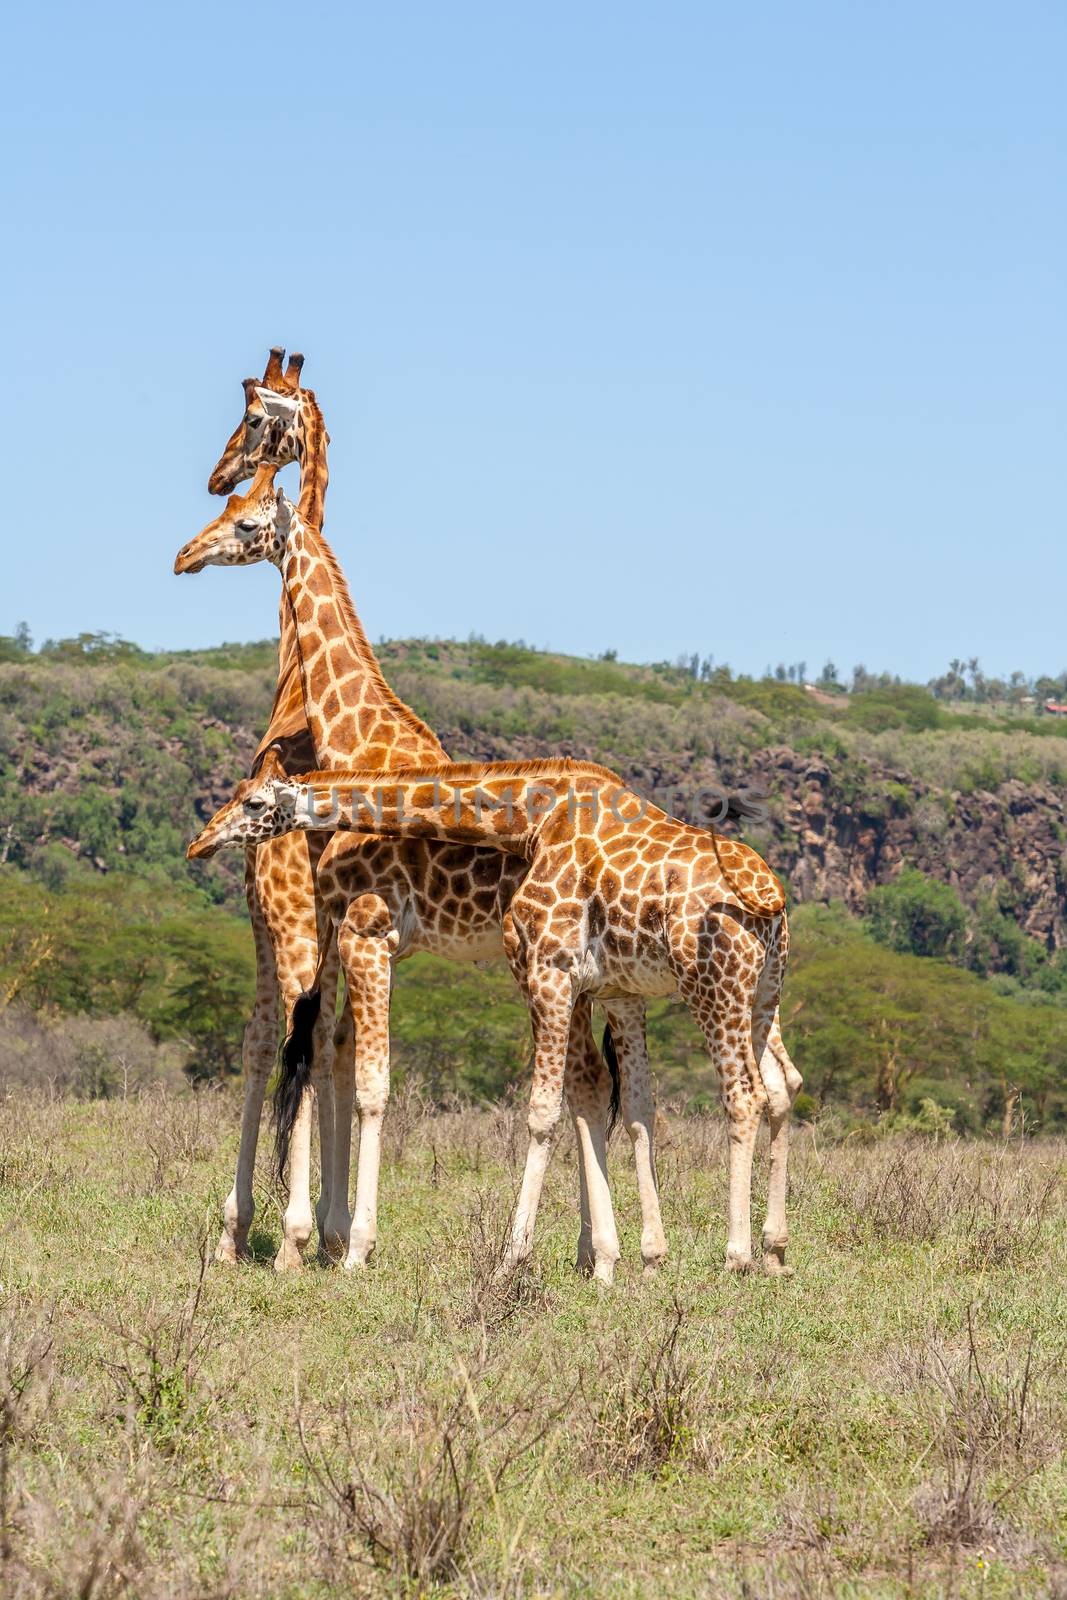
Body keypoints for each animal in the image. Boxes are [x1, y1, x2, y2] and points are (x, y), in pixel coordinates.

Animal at [180, 393, 646, 1280]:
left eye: (247, 517)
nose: (184, 553)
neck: (351, 730)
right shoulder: (355, 936)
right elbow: (338, 1063)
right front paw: (326, 1235)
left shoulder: (360, 931)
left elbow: (365, 1083)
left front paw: (343, 1242)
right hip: (599, 983)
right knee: (605, 1088)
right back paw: (607, 1254)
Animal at [189, 758, 799, 1273]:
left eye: (252, 803)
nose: (201, 841)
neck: (533, 819)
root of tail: (773, 899)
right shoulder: (613, 988)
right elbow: (632, 1109)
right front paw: (640, 1257)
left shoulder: (547, 968)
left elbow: (542, 1113)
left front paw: (512, 1256)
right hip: (764, 995)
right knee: (780, 1088)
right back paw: (774, 1251)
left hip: (713, 987)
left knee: (744, 1095)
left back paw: (737, 1256)